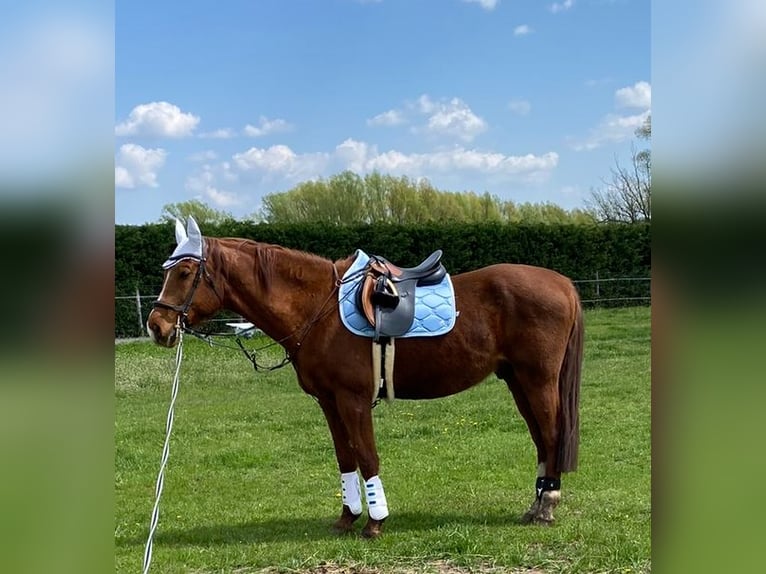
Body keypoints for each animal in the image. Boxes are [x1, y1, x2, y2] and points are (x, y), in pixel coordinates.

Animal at [148, 222, 584, 540]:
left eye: (184, 272)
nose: (157, 325)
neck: (319, 308)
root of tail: (563, 283)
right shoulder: (328, 401)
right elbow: (345, 457)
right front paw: (347, 517)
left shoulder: (353, 399)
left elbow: (367, 456)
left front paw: (375, 522)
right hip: (517, 380)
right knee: (540, 437)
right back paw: (536, 504)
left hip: (537, 380)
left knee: (550, 434)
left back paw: (547, 504)